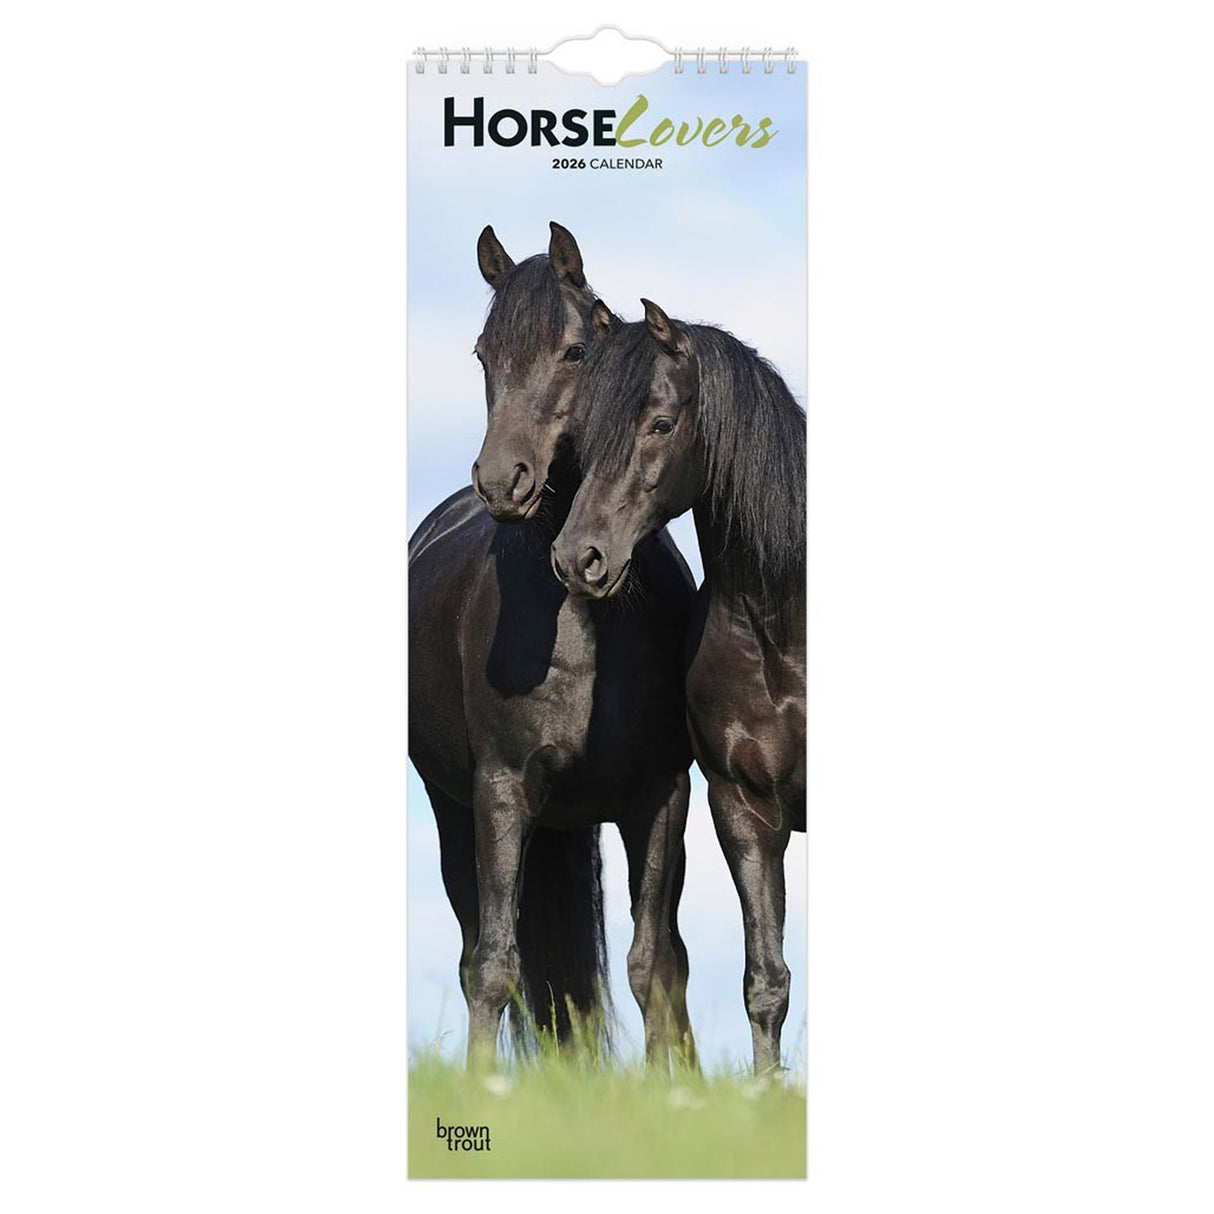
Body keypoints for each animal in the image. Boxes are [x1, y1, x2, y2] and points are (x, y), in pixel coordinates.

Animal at [408, 227, 699, 1069]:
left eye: (575, 351)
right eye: (483, 353)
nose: (503, 480)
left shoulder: (661, 796)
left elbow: (654, 963)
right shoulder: (500, 793)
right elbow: (494, 966)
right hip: (454, 811)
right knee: (478, 949)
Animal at [550, 299, 807, 1074]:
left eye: (662, 424)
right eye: (586, 432)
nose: (579, 557)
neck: (782, 628)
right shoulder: (743, 808)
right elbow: (767, 980)